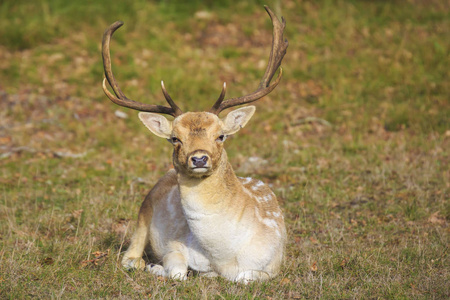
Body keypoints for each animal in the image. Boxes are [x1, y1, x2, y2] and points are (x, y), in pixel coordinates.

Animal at [101, 5, 288, 284]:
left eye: (221, 135)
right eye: (174, 138)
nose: (199, 158)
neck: (223, 256)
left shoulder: (273, 262)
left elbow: (243, 277)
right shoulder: (175, 246)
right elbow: (178, 271)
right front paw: (159, 268)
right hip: (144, 211)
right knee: (130, 256)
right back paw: (144, 263)